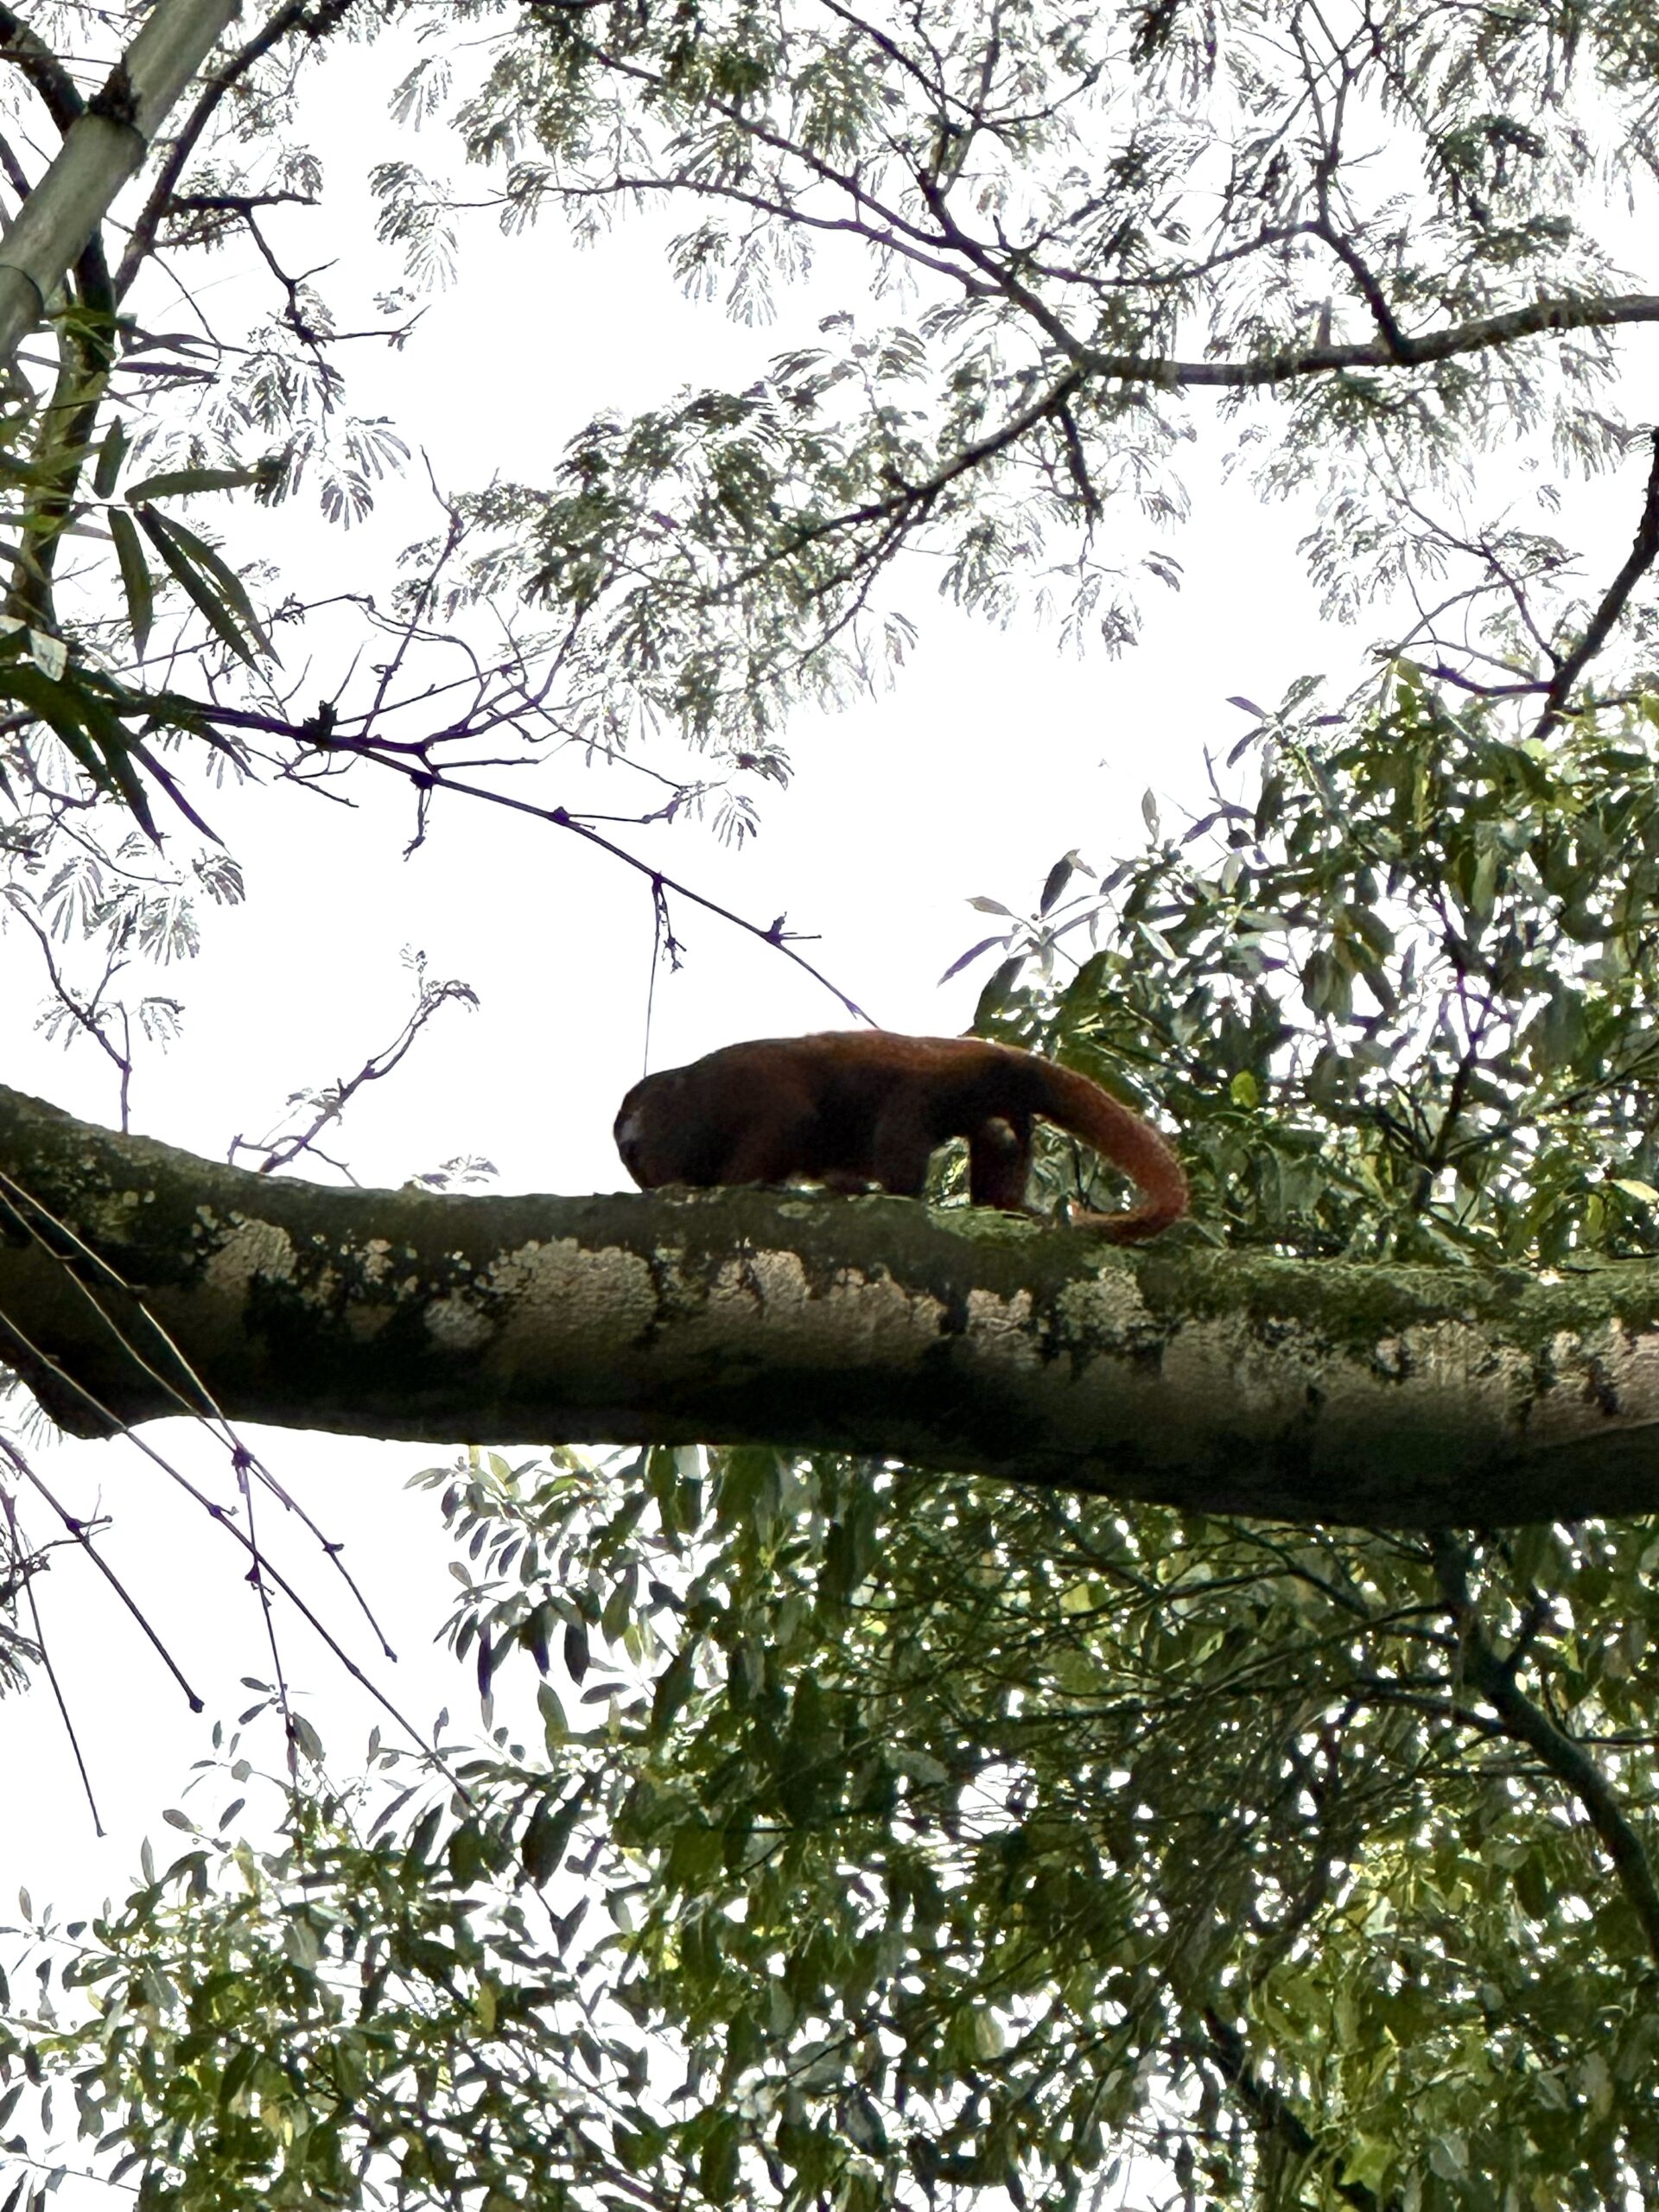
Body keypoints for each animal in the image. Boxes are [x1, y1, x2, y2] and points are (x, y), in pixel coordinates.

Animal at [614, 1031, 1187, 1242]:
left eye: (636, 1147)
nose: (637, 1162)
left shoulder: (737, 1084)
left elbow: (792, 1118)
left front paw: (740, 1186)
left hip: (951, 1079)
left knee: (902, 1114)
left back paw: (898, 1194)